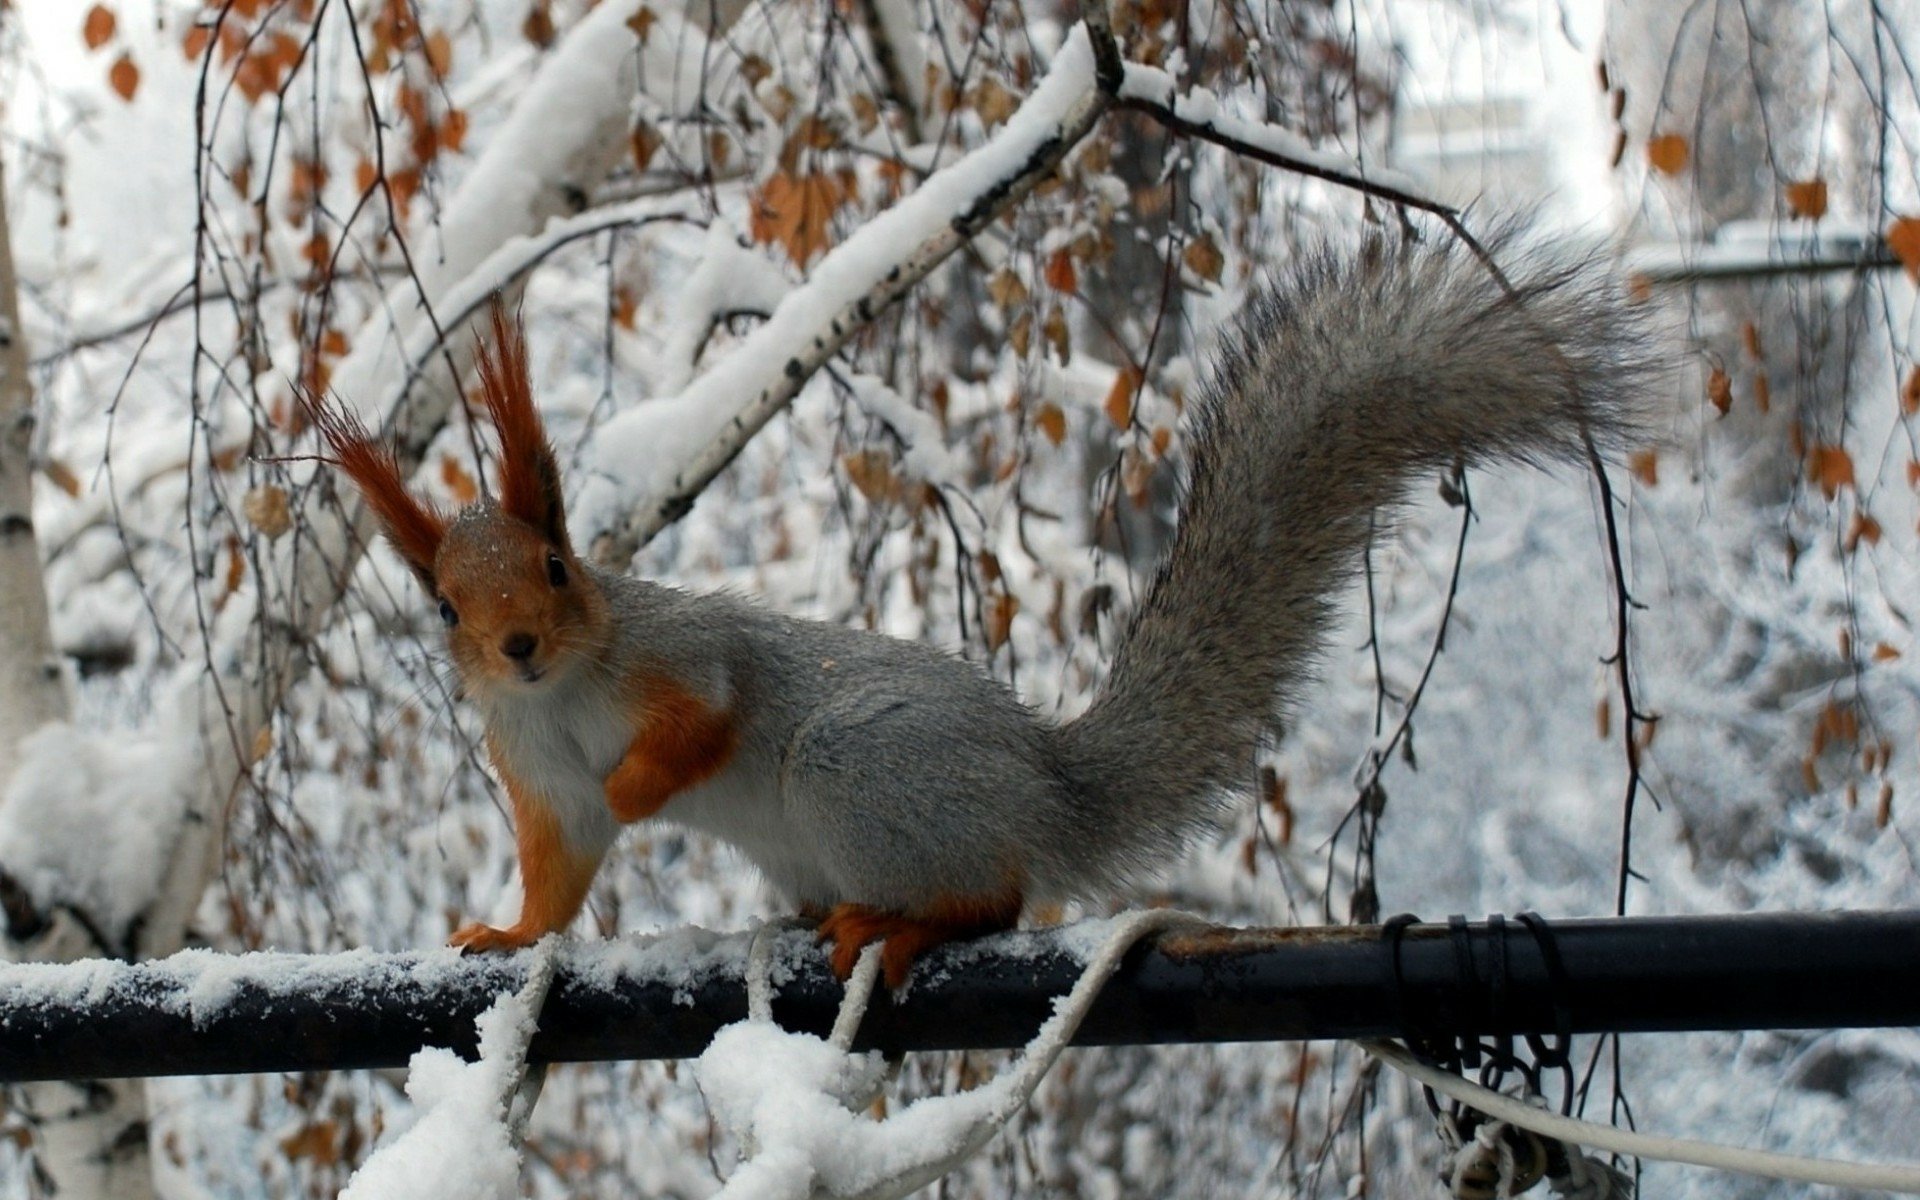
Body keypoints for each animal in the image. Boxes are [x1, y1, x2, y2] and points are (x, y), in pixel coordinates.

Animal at [308, 226, 1653, 988]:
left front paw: (648, 785)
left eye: (556, 566)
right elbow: (563, 866)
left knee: (993, 898)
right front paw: (511, 936)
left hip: (857, 772)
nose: (520, 647)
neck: (573, 691)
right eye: (442, 609)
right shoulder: (537, 767)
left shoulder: (686, 654)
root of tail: (1043, 786)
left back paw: (903, 928)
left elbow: (706, 720)